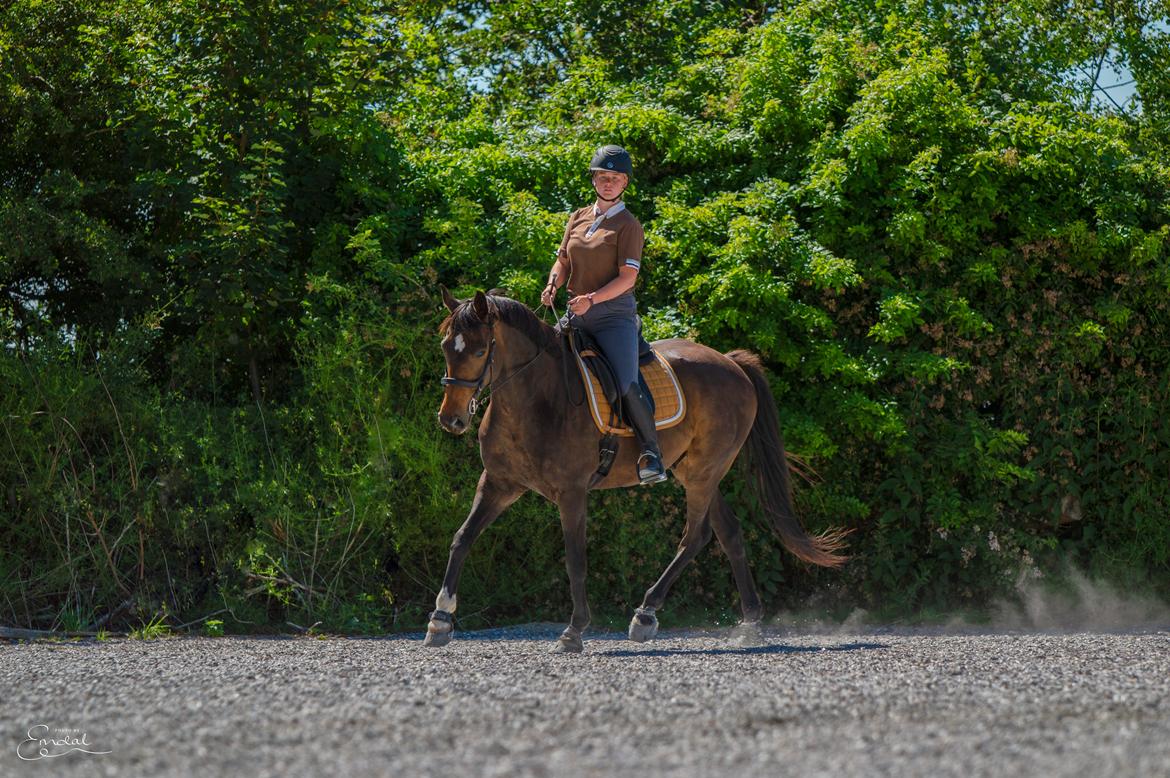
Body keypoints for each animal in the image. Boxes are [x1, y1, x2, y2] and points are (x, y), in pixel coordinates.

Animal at [425, 286, 847, 650]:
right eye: (446, 346)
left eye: (480, 350)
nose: (451, 419)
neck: (535, 398)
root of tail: (731, 363)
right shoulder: (499, 483)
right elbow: (462, 538)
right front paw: (440, 620)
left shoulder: (571, 492)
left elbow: (575, 559)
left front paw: (574, 631)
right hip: (695, 472)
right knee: (728, 532)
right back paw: (749, 623)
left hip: (704, 472)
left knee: (695, 536)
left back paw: (645, 614)